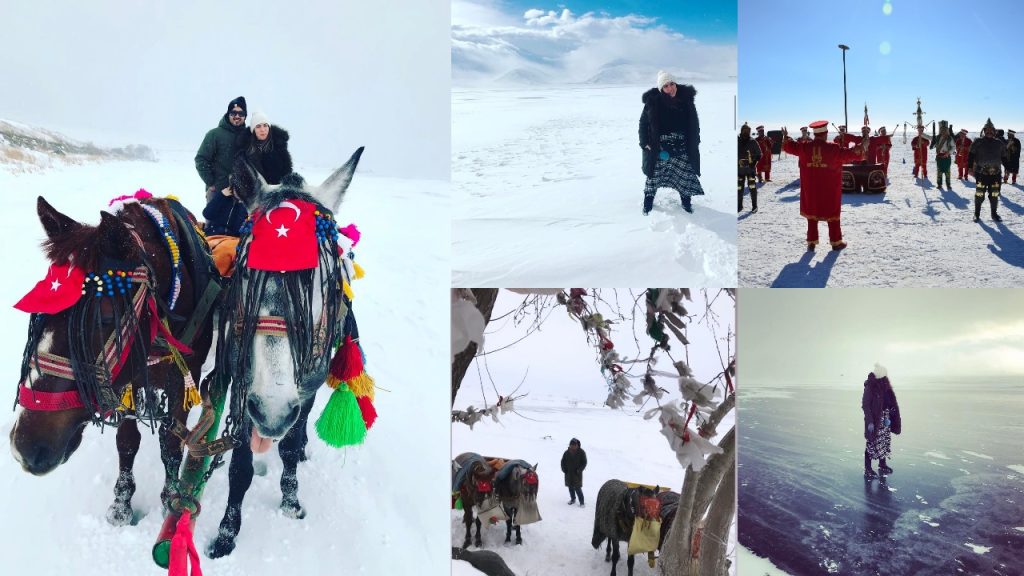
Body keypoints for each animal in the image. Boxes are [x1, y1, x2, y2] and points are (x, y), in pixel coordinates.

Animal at [9, 193, 218, 524]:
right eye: (38, 313)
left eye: (106, 316)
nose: (24, 446)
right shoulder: (125, 381)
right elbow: (127, 442)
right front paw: (121, 503)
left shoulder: (184, 378)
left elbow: (171, 444)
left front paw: (169, 497)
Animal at [205, 147, 370, 557]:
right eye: (247, 271)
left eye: (326, 279)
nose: (273, 411)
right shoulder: (245, 387)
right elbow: (241, 464)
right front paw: (227, 534)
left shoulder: (305, 388)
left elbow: (291, 448)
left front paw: (291, 502)